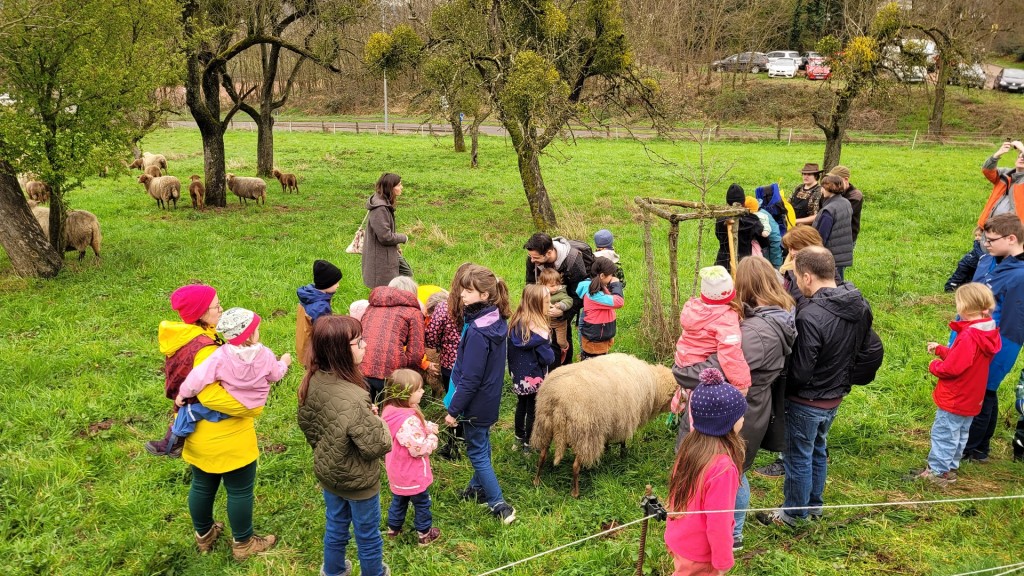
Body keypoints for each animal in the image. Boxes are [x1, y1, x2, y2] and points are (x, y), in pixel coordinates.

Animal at [528, 352, 679, 496]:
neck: (655, 386)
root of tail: (558, 399)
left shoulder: (612, 420)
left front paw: (607, 449)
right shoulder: (625, 418)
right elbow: (623, 441)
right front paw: (622, 455)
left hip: (544, 425)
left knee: (542, 455)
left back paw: (536, 481)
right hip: (585, 435)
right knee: (575, 466)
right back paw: (575, 493)